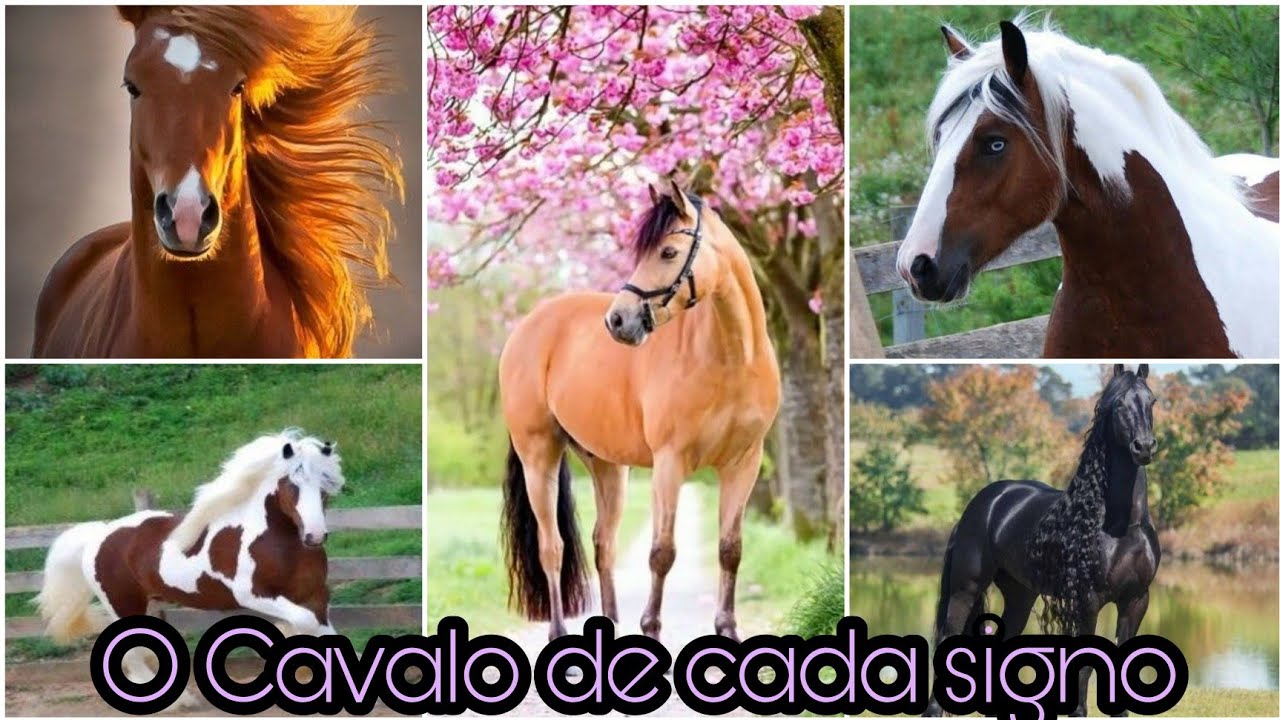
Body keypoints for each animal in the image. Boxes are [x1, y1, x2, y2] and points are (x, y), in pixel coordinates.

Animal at [36, 430, 343, 698]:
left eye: (325, 483)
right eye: (293, 484)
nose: (315, 535)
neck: (278, 544)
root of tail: (98, 535)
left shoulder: (315, 595)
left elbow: (325, 633)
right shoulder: (253, 595)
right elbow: (304, 623)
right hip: (124, 606)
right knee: (131, 654)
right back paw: (180, 701)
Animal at [498, 181, 781, 643]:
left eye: (667, 252)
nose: (617, 320)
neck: (731, 359)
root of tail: (527, 325)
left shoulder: (744, 462)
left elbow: (730, 550)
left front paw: (727, 629)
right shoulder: (670, 462)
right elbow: (662, 553)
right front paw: (652, 630)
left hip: (608, 467)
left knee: (604, 545)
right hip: (538, 457)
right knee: (552, 548)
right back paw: (558, 633)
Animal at [926, 365, 1160, 717]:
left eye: (1151, 401)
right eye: (1118, 404)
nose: (1143, 447)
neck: (1122, 527)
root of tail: (983, 503)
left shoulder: (1136, 599)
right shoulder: (1088, 599)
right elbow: (1086, 664)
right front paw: (1077, 712)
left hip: (1020, 595)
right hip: (966, 588)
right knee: (947, 636)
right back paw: (933, 710)